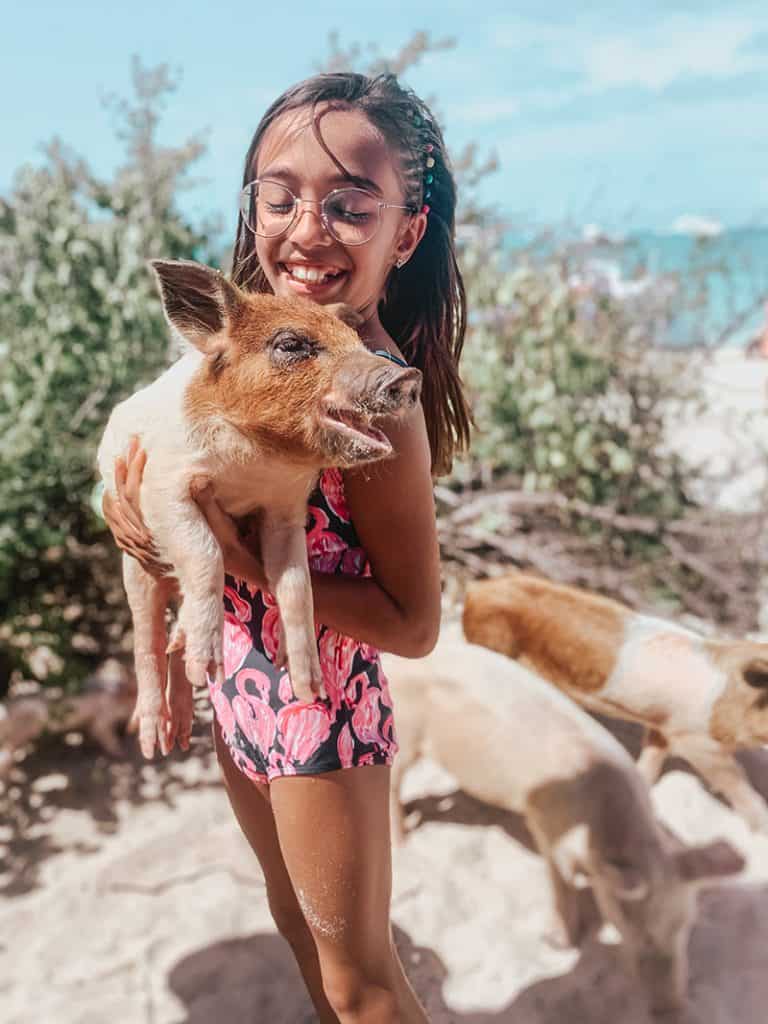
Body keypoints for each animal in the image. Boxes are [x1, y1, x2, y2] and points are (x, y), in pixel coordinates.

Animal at [96, 262, 423, 761]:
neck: (258, 465)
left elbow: (297, 585)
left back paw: (184, 713)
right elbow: (207, 554)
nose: (407, 378)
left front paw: (309, 688)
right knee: (147, 641)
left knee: (171, 636)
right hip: (134, 567)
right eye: (291, 344)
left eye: (356, 339)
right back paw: (157, 742)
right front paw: (209, 665)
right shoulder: (160, 488)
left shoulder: (285, 512)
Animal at [385, 638, 745, 1015]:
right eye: (637, 931)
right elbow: (562, 884)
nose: (672, 1010)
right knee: (392, 785)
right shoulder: (548, 829)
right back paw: (403, 842)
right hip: (405, 731)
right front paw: (559, 943)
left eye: (685, 927)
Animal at [466, 573, 768, 835]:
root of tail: (478, 589)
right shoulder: (694, 738)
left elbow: (649, 763)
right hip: (492, 643)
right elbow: (735, 778)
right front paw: (760, 827)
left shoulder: (662, 725)